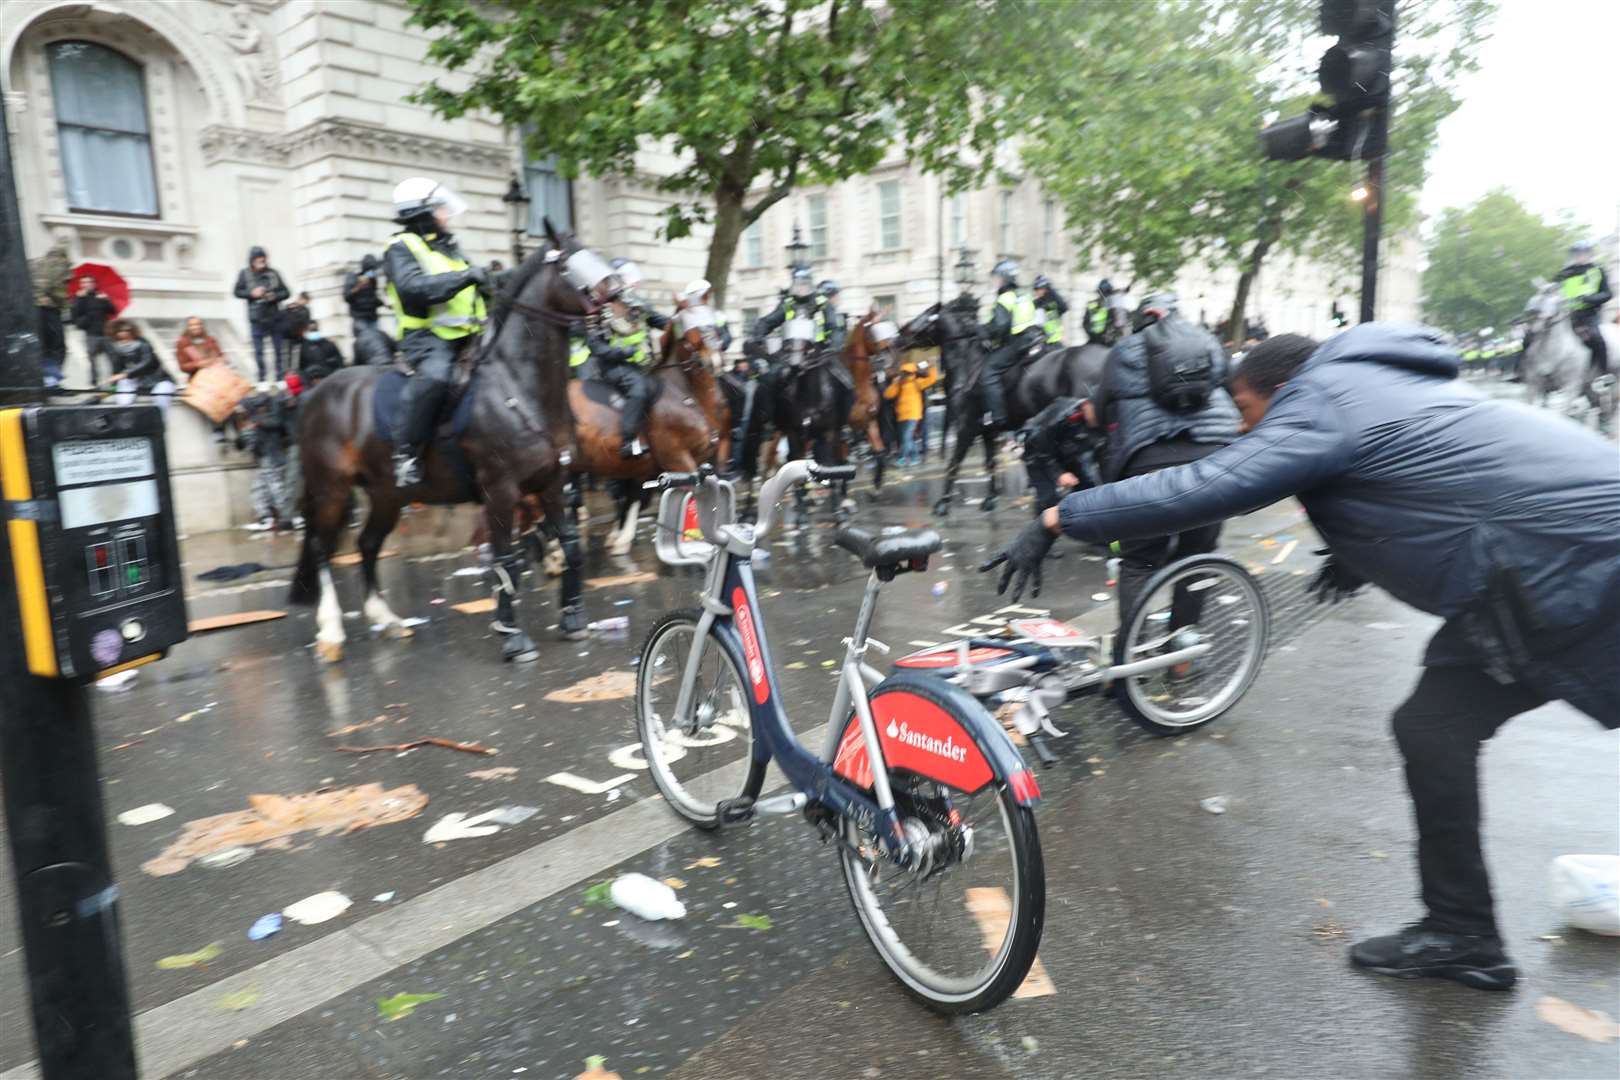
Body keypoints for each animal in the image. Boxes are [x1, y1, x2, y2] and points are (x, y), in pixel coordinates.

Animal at [285, 223, 612, 663]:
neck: (518, 387)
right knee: (322, 547)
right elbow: (506, 560)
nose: (622, 298)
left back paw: (387, 619)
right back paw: (332, 631)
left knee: (368, 544)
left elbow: (572, 547)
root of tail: (316, 393)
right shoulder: (500, 490)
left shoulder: (552, 483)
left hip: (388, 494)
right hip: (331, 488)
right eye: (568, 264)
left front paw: (574, 620)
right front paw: (513, 638)